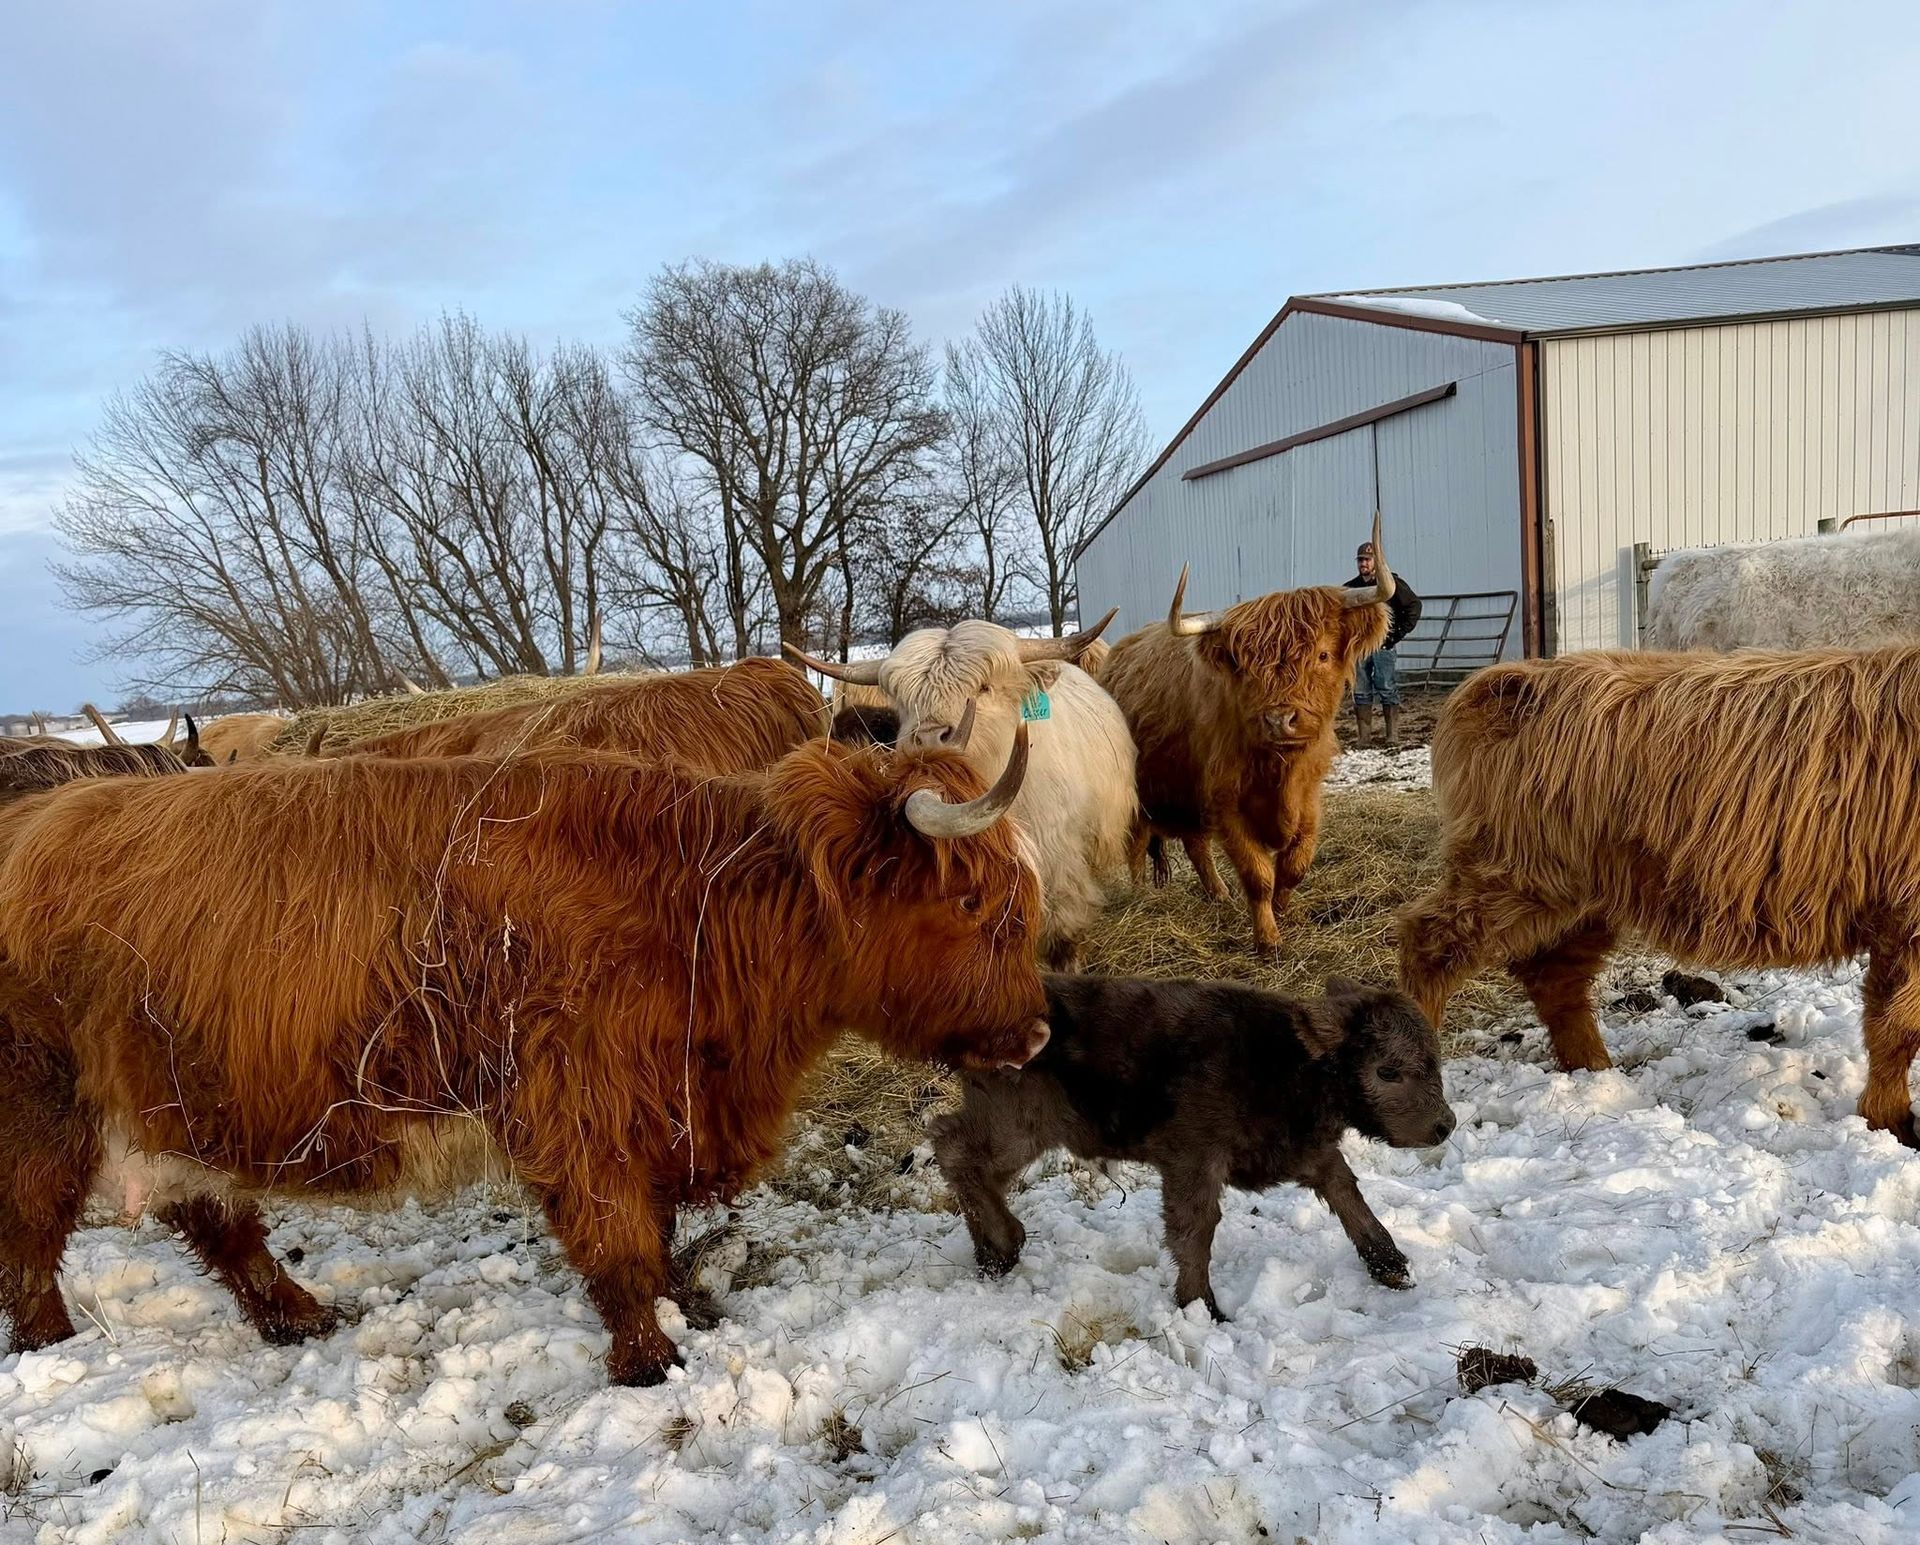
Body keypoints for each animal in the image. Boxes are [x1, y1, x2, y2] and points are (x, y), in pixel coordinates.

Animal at [0, 721, 1047, 1385]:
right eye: (971, 901)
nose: (1038, 1031)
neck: (697, 907)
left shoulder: (660, 1108)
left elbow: (656, 1230)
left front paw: (684, 1306)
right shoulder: (575, 1110)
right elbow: (617, 1245)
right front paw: (648, 1361)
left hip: (169, 1104)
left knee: (216, 1220)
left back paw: (299, 1314)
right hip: (43, 1111)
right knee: (31, 1234)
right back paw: (55, 1347)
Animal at [932, 974, 1454, 1316]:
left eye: (1435, 1060)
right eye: (1388, 1071)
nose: (1445, 1125)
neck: (1285, 1063)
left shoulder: (1300, 1150)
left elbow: (1346, 1188)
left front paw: (1390, 1263)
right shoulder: (1193, 1157)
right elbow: (1195, 1228)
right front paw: (1200, 1306)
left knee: (973, 1162)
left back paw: (997, 1243)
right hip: (1017, 1121)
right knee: (953, 1147)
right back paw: (1000, 1245)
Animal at [1098, 516, 1397, 952]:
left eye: (1323, 655)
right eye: (1243, 666)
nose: (1279, 720)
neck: (1278, 771)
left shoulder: (1309, 796)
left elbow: (1295, 865)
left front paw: (1284, 910)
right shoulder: (1226, 801)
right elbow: (1258, 875)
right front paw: (1268, 940)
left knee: (1196, 844)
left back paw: (1219, 894)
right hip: (1141, 795)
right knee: (1138, 846)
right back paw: (1140, 895)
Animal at [1398, 645, 1920, 1144]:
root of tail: (1505, 681)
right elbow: (1899, 1025)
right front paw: (1892, 1121)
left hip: (1581, 894)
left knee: (1555, 977)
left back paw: (1596, 1073)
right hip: (1516, 873)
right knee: (1431, 942)